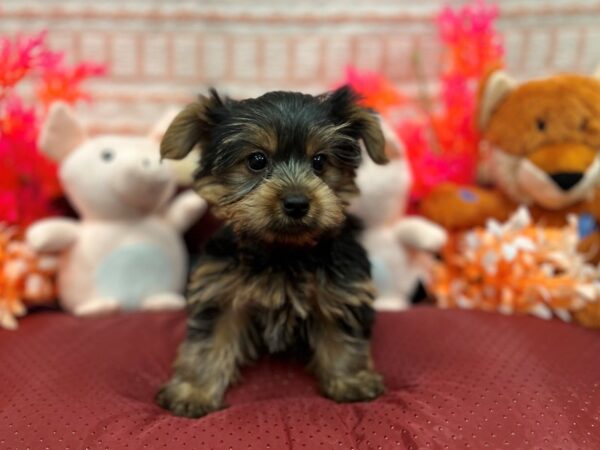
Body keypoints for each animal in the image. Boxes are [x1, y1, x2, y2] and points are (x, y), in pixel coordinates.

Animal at [157, 85, 386, 418]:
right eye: (256, 160)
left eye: (320, 161)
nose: (296, 203)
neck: (283, 250)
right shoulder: (221, 288)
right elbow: (210, 339)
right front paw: (194, 391)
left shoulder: (342, 286)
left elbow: (341, 329)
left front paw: (351, 380)